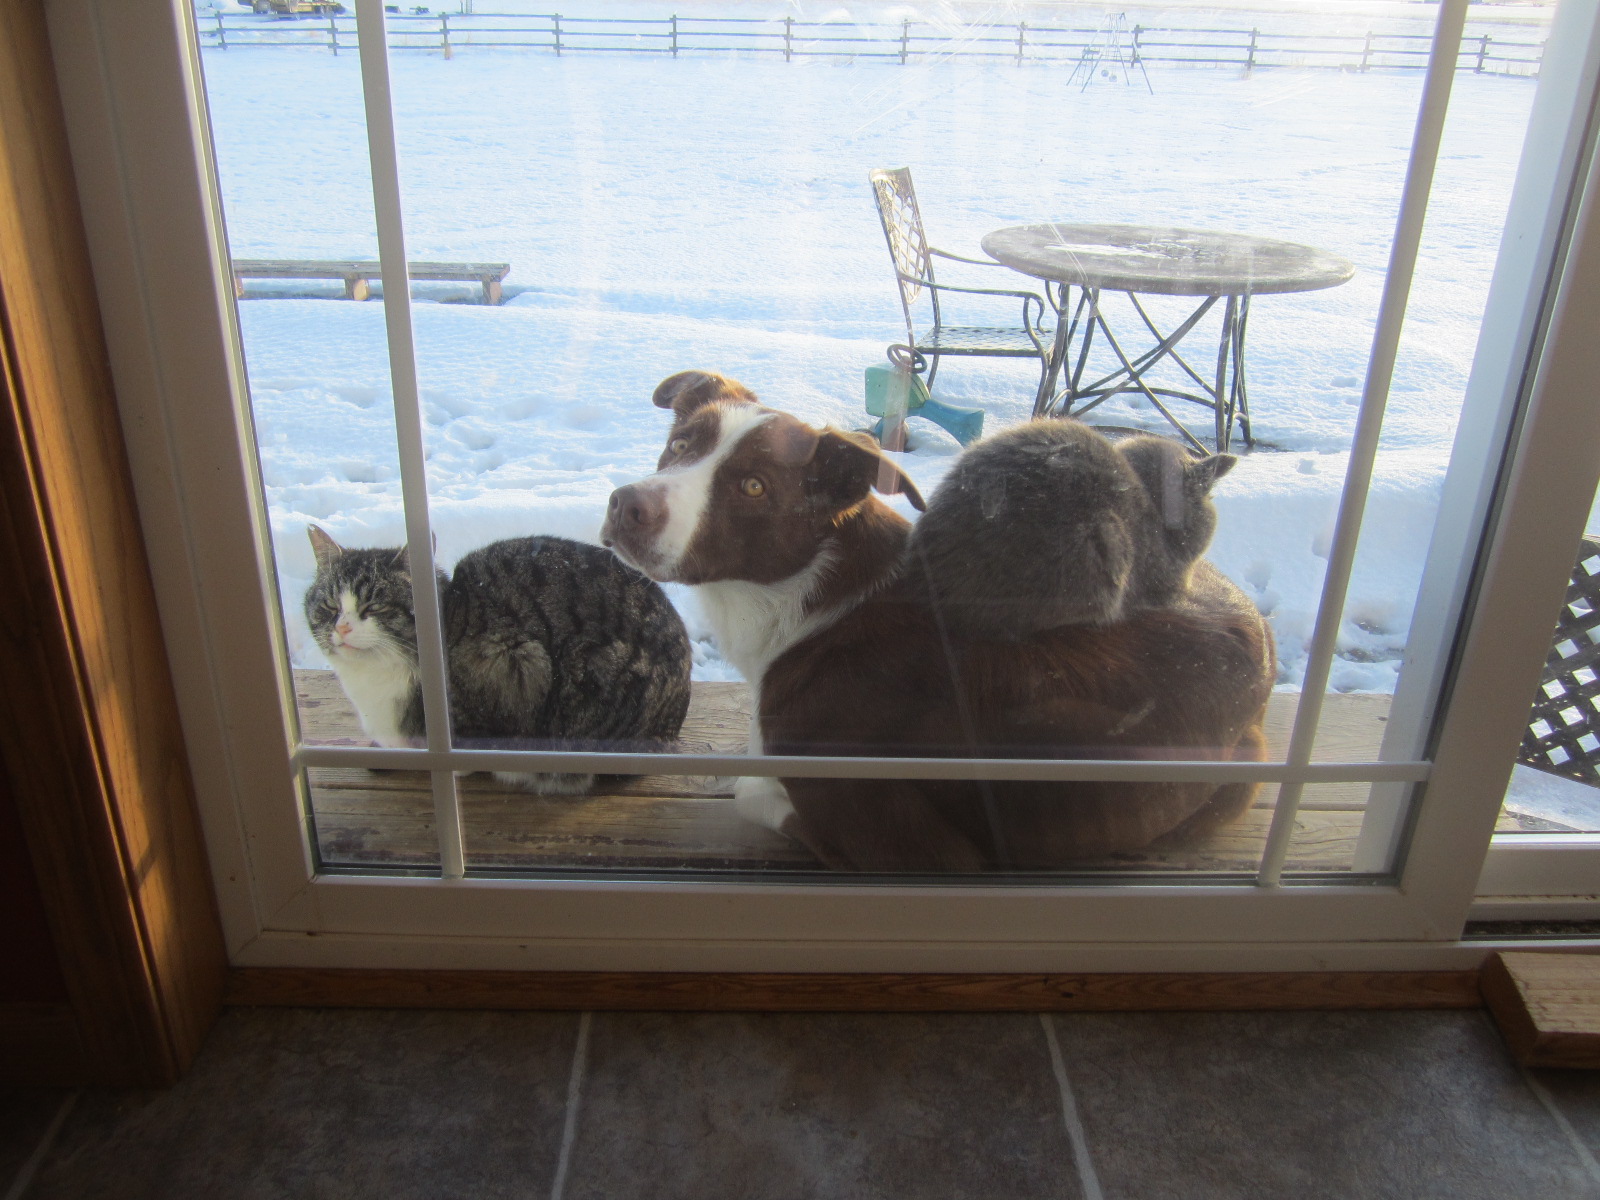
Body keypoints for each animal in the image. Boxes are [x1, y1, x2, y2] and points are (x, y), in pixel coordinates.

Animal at [601, 370, 1275, 871]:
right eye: (681, 444)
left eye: (754, 486)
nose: (625, 505)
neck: (815, 598)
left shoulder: (920, 851)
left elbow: (750, 789)